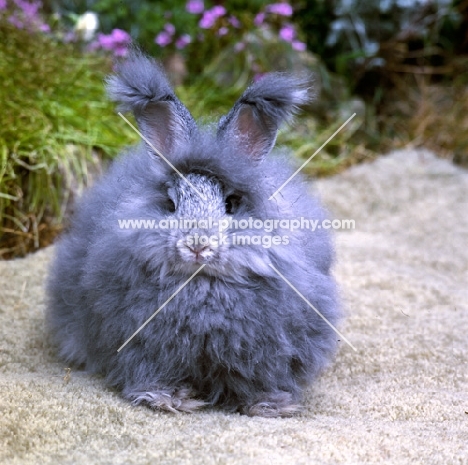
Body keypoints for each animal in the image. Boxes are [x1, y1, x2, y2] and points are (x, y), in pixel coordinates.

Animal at [46, 49, 340, 416]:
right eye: (171, 204)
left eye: (231, 203)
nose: (197, 245)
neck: (202, 283)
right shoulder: (146, 349)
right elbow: (152, 374)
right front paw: (165, 399)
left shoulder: (268, 353)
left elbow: (258, 382)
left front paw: (269, 405)